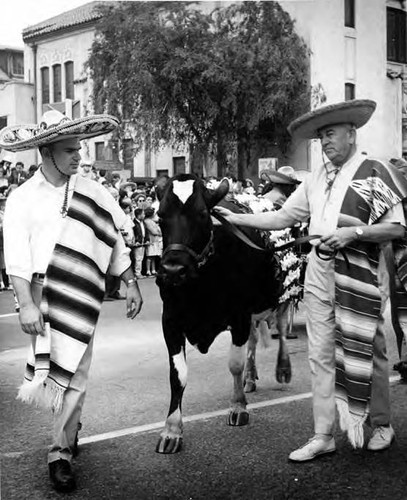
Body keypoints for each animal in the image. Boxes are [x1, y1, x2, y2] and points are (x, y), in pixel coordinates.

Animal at [155, 174, 292, 456]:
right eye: (160, 216)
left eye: (202, 214)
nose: (172, 270)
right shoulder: (170, 321)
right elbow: (178, 376)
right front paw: (172, 430)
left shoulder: (239, 316)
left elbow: (234, 364)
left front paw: (238, 406)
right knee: (253, 340)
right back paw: (251, 377)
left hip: (283, 296)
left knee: (282, 329)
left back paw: (283, 369)